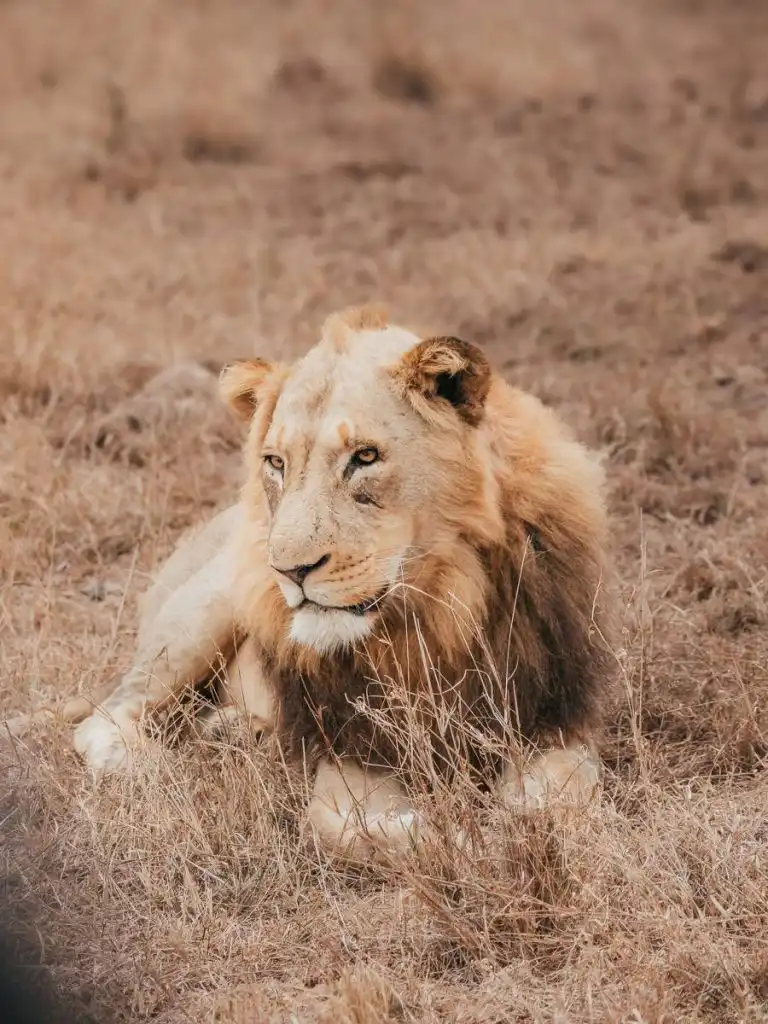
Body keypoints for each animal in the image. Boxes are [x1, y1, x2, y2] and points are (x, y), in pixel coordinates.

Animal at [12, 305, 616, 859]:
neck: (438, 612)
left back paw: (232, 732)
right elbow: (349, 828)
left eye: (365, 457)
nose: (289, 570)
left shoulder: (556, 719)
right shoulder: (350, 749)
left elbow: (557, 806)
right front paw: (464, 840)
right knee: (105, 718)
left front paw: (516, 829)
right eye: (275, 463)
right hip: (207, 610)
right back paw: (170, 764)